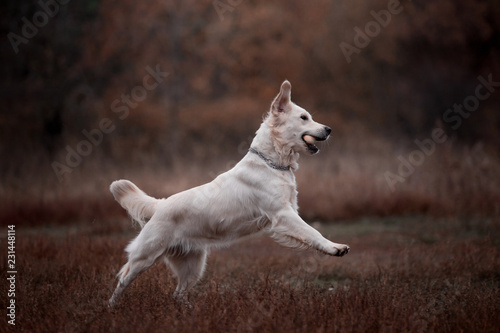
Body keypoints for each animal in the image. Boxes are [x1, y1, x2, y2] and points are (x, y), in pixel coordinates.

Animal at [108, 80, 352, 306]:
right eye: (304, 118)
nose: (329, 129)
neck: (272, 163)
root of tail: (160, 204)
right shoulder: (282, 214)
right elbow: (313, 232)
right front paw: (335, 247)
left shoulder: (289, 209)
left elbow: (309, 232)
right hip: (145, 257)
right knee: (122, 280)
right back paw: (111, 308)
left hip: (193, 266)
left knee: (177, 294)